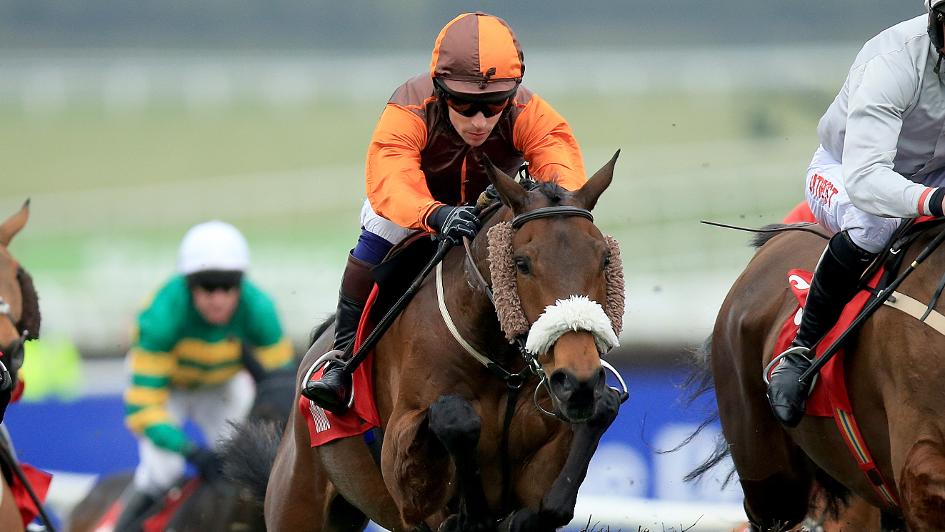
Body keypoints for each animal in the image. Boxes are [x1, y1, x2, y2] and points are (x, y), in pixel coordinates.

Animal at [235, 152, 625, 532]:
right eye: (521, 262)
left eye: (605, 258)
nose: (576, 380)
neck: (501, 364)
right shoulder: (401, 464)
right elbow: (454, 417)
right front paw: (470, 515)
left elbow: (559, 490)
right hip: (297, 499)